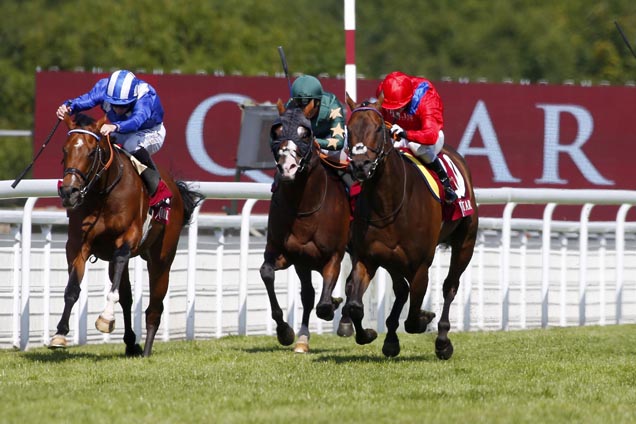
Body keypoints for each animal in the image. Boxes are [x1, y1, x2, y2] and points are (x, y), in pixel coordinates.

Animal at [51, 113, 202, 358]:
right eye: (65, 150)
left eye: (91, 152)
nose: (69, 192)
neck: (103, 194)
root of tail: (177, 190)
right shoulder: (77, 244)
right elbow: (73, 288)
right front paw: (60, 334)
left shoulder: (126, 240)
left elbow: (116, 289)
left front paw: (105, 318)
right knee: (127, 297)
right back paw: (131, 343)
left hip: (162, 258)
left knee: (154, 306)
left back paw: (146, 350)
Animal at [262, 101, 352, 352]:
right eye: (277, 132)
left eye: (305, 134)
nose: (288, 168)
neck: (304, 205)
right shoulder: (288, 254)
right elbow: (267, 273)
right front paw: (285, 331)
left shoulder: (333, 256)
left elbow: (324, 303)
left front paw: (332, 305)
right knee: (309, 295)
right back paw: (303, 339)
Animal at [342, 94, 476, 360]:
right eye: (349, 129)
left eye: (379, 128)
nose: (360, 166)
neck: (389, 203)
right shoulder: (367, 257)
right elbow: (354, 304)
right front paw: (368, 334)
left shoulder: (421, 264)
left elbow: (414, 318)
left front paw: (427, 319)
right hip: (392, 259)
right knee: (401, 290)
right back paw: (391, 339)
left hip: (465, 242)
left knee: (449, 286)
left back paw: (442, 340)